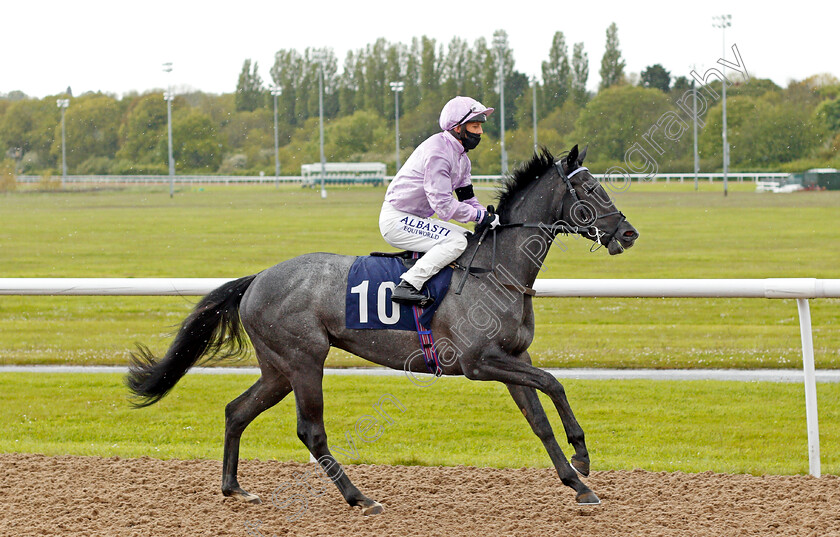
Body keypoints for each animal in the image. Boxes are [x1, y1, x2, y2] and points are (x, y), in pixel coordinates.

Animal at [126, 144, 636, 512]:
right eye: (590, 189)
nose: (628, 234)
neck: (497, 268)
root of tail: (257, 279)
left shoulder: (512, 357)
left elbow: (540, 418)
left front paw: (577, 482)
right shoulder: (479, 362)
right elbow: (553, 383)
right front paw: (582, 456)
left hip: (277, 368)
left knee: (236, 411)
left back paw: (235, 488)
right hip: (304, 360)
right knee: (311, 431)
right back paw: (360, 498)